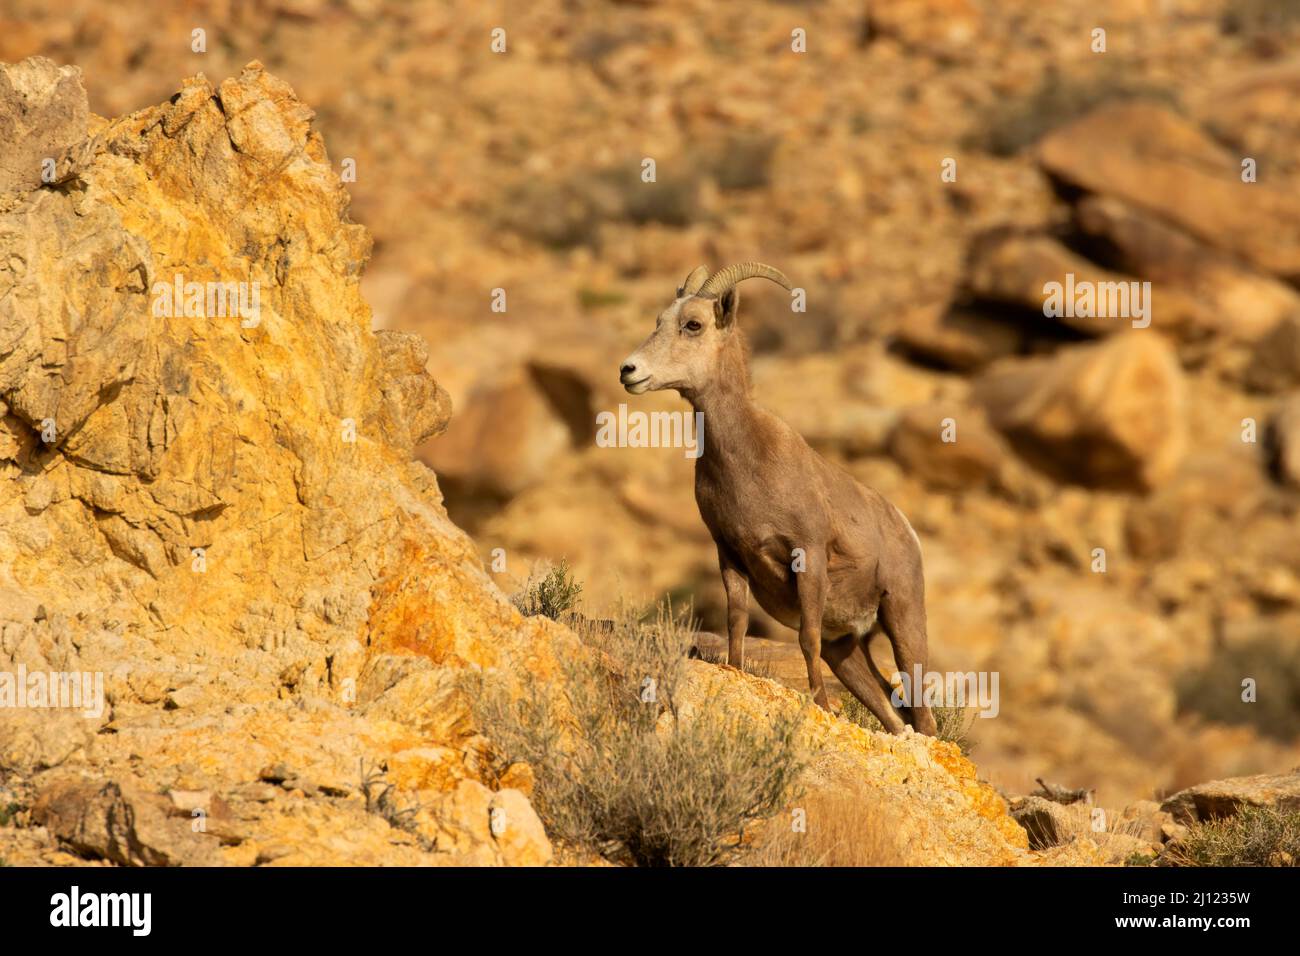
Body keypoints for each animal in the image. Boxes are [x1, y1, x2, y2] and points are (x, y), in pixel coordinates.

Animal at [618, 265, 935, 738]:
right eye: (659, 320)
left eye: (693, 325)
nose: (629, 370)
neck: (748, 461)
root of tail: (906, 529)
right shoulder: (730, 554)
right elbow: (737, 621)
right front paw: (735, 672)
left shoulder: (808, 556)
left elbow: (806, 636)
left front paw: (820, 705)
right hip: (848, 648)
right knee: (893, 712)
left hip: (903, 618)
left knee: (922, 712)